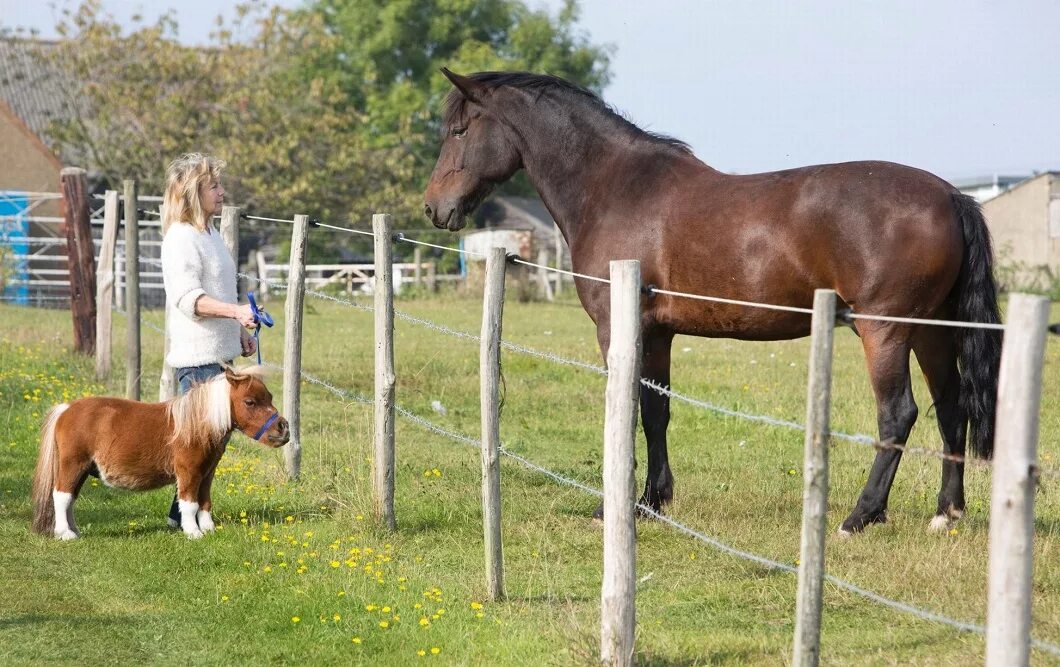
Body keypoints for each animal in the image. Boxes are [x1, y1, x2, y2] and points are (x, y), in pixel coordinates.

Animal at [33, 366, 290, 538]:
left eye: (269, 397)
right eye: (250, 402)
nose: (284, 428)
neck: (195, 425)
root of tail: (65, 409)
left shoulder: (207, 473)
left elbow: (205, 501)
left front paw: (208, 528)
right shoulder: (189, 472)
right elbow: (189, 503)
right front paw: (193, 532)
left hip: (83, 469)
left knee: (70, 498)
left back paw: (74, 530)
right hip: (72, 464)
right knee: (61, 496)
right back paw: (65, 533)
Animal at [423, 69, 1000, 532]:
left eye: (460, 130)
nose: (433, 207)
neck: (615, 188)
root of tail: (951, 195)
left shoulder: (617, 328)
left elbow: (627, 410)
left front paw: (615, 507)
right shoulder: (657, 332)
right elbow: (655, 411)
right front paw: (651, 502)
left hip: (884, 330)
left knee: (898, 415)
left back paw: (860, 516)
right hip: (930, 331)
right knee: (951, 409)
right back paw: (946, 512)